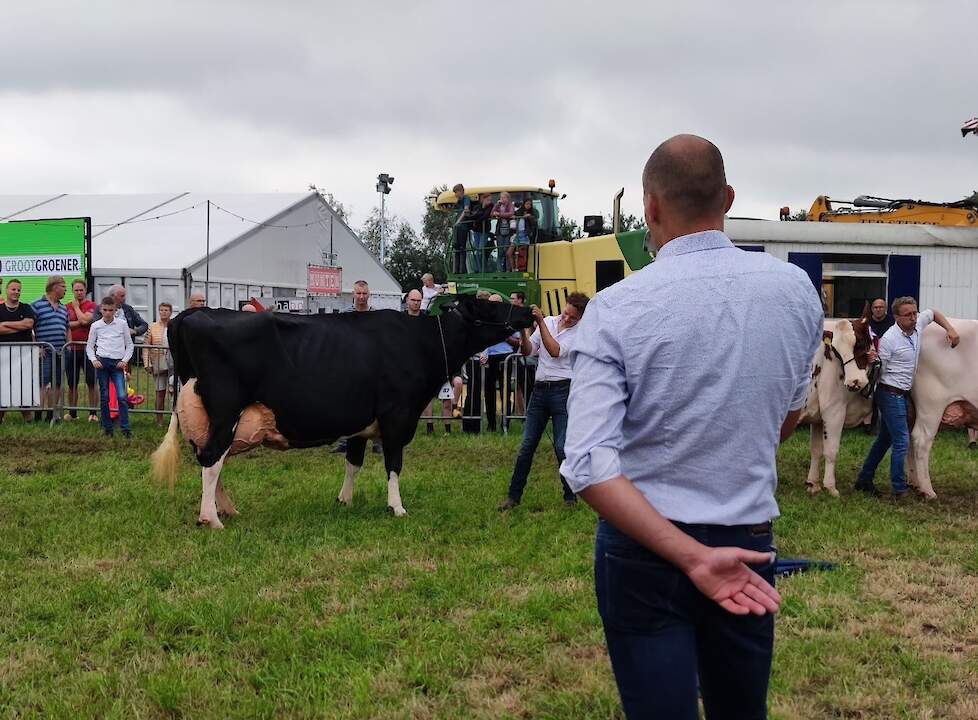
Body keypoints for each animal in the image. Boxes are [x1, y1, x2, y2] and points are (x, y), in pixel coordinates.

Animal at [151, 296, 532, 524]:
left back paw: (226, 509)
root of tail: (193, 313)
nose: (528, 311)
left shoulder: (362, 421)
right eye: (489, 308)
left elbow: (354, 462)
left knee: (214, 460)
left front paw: (344, 501)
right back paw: (211, 518)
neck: (420, 342)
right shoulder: (397, 416)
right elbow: (394, 464)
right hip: (226, 409)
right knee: (211, 459)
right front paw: (397, 507)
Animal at [796, 316, 872, 496]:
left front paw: (813, 484)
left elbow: (816, 449)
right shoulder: (833, 412)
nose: (854, 382)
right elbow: (831, 450)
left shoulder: (816, 417)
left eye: (860, 343)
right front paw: (831, 487)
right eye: (837, 352)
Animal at [900, 322, 976, 500]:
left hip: (913, 409)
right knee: (921, 440)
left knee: (910, 438)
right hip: (932, 404)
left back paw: (915, 483)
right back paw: (928, 490)